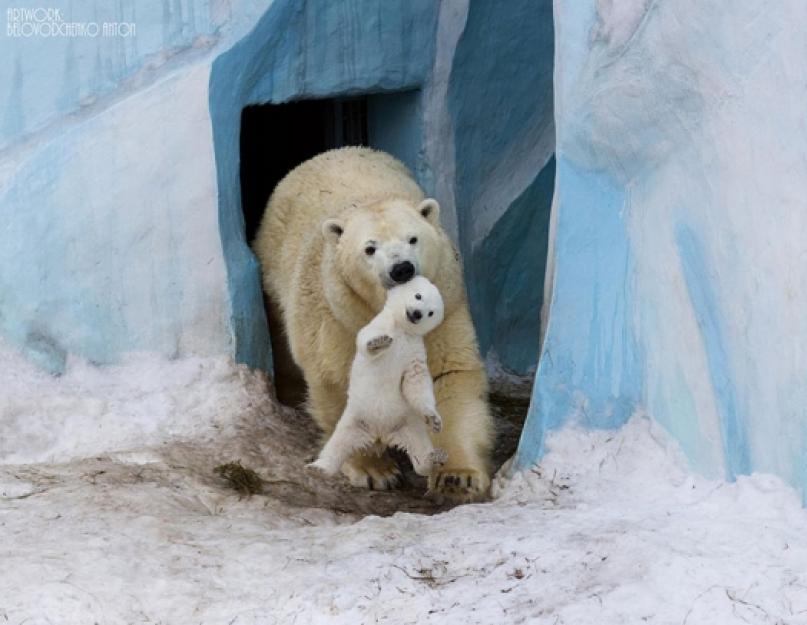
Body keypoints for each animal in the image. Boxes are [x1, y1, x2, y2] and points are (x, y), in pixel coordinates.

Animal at [308, 276, 448, 480]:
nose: (416, 314)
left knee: (419, 448)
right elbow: (365, 340)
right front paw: (379, 342)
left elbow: (416, 381)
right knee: (337, 445)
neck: (401, 330)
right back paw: (318, 467)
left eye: (430, 313)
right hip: (355, 420)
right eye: (418, 295)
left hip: (407, 424)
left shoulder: (414, 351)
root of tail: (380, 435)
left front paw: (434, 420)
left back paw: (433, 459)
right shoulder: (380, 324)